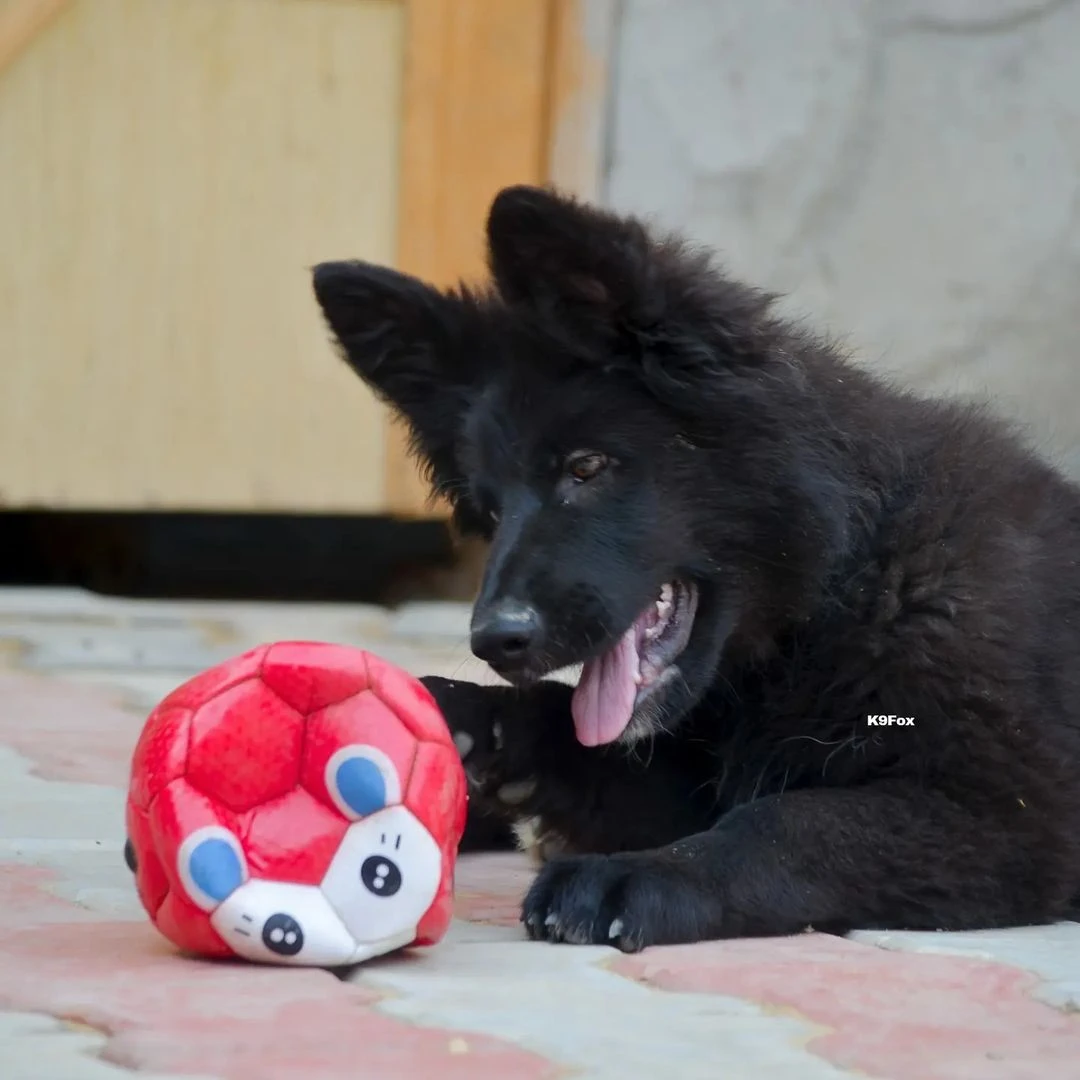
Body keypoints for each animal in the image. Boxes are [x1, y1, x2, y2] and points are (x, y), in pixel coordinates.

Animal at [311, 185, 1080, 954]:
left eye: (586, 468)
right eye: (492, 511)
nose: (495, 642)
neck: (840, 586)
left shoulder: (1006, 819)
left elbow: (789, 821)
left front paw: (640, 876)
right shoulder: (681, 776)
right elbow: (567, 721)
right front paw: (464, 714)